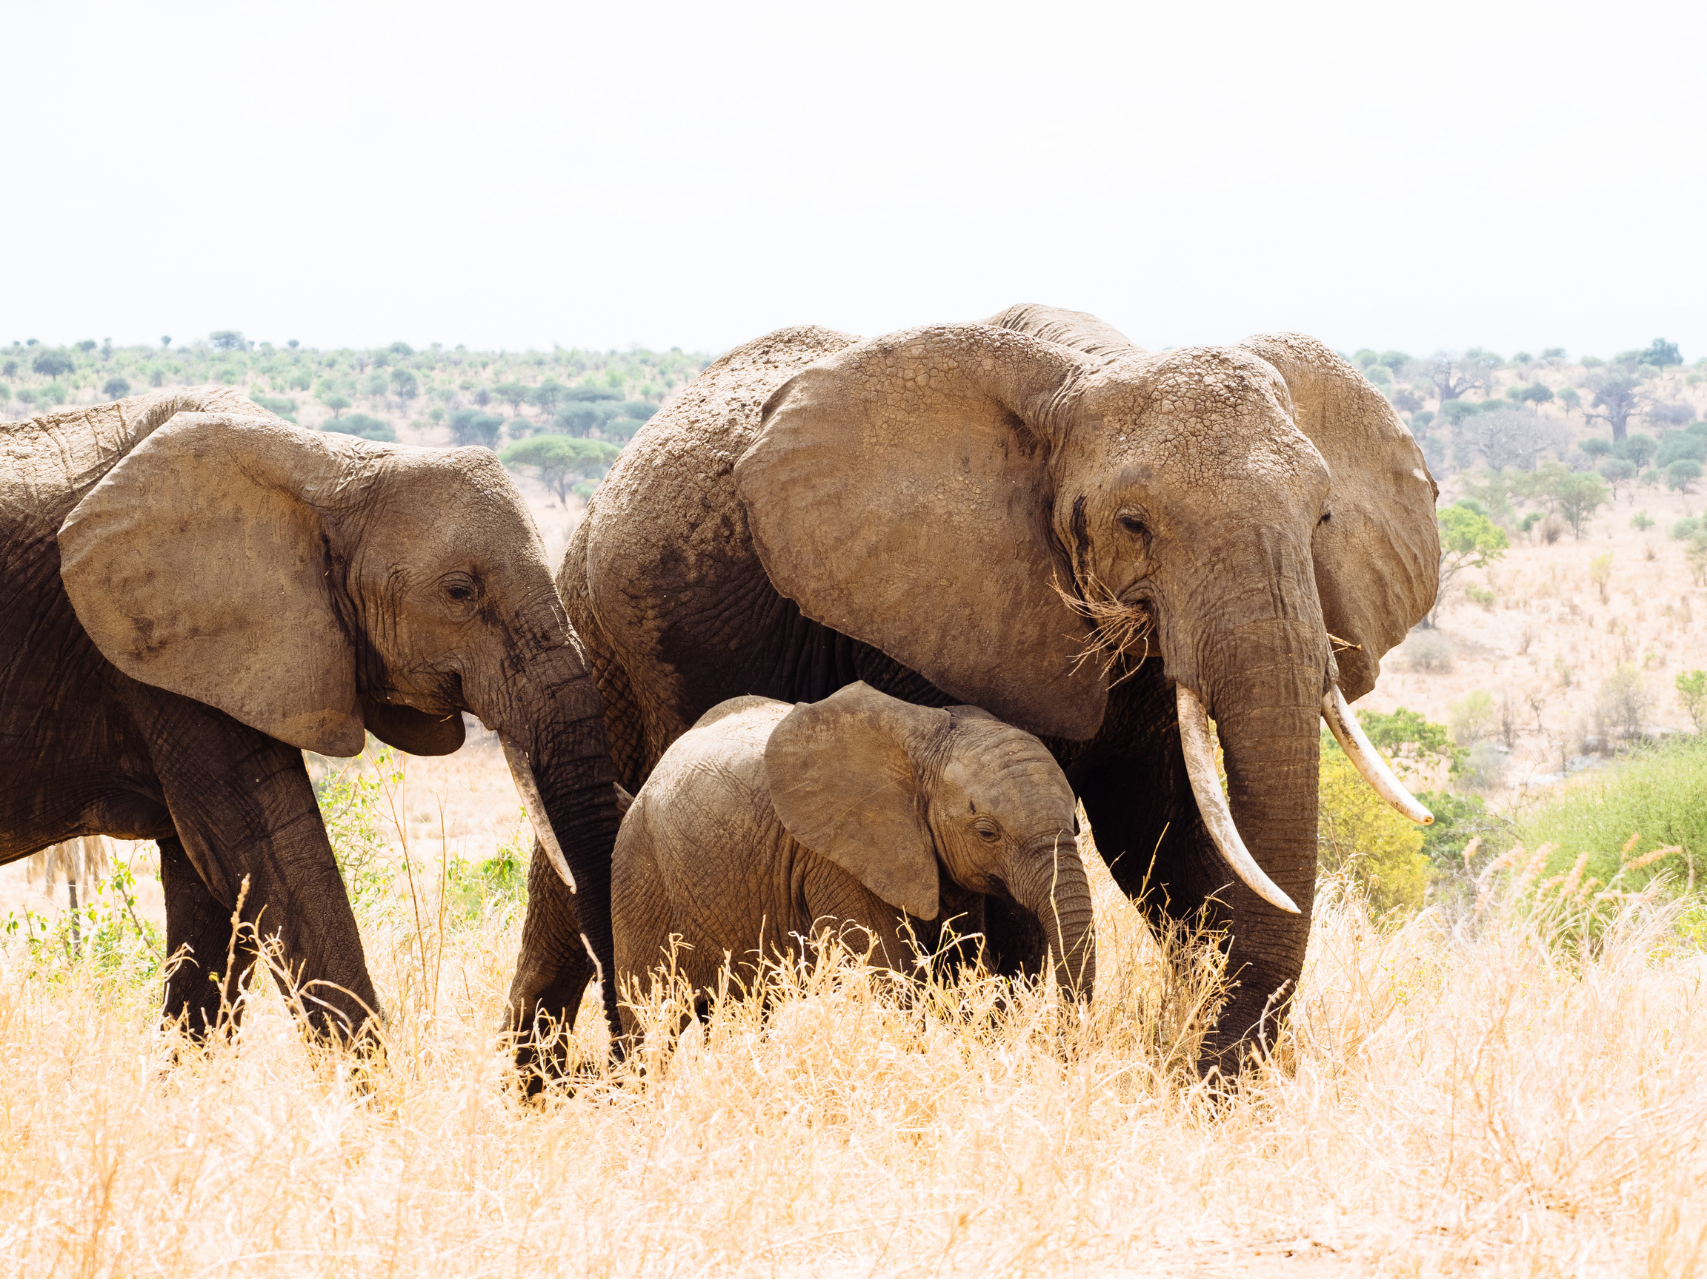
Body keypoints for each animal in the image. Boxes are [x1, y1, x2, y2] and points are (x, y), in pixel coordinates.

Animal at [0, 388, 622, 1043]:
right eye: (460, 593)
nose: (613, 1055)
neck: (326, 465)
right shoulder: (169, 656)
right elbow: (275, 861)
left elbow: (217, 895)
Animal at [611, 682, 1093, 1032]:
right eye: (987, 833)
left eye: (1075, 823)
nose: (1062, 1043)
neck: (929, 739)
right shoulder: (836, 862)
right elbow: (891, 980)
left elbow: (963, 968)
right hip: (639, 875)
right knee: (652, 1019)